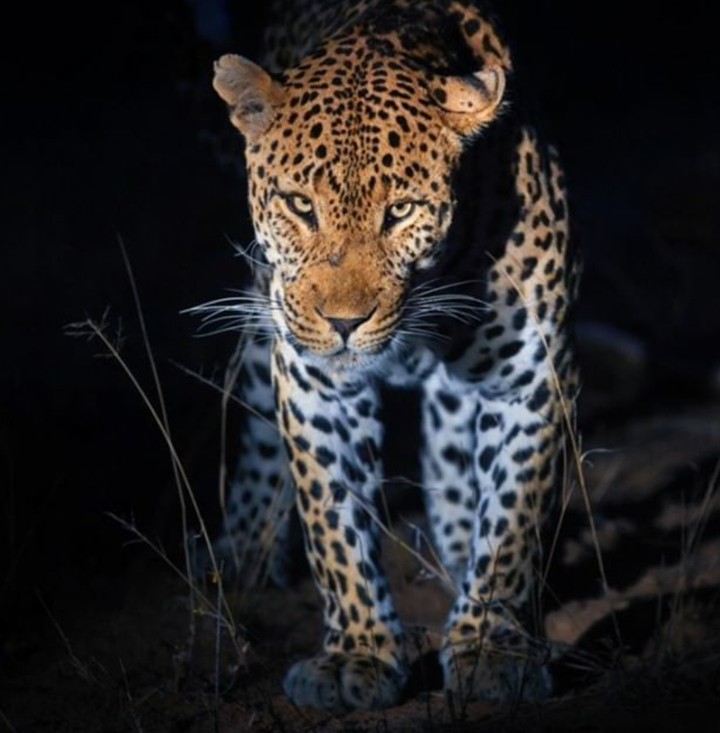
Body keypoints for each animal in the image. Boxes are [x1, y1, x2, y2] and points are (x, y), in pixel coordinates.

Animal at [201, 0, 579, 713]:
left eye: (400, 211)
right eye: (300, 204)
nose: (344, 323)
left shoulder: (530, 375)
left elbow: (512, 517)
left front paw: (490, 645)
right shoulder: (316, 383)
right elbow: (334, 522)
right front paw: (357, 655)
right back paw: (244, 554)